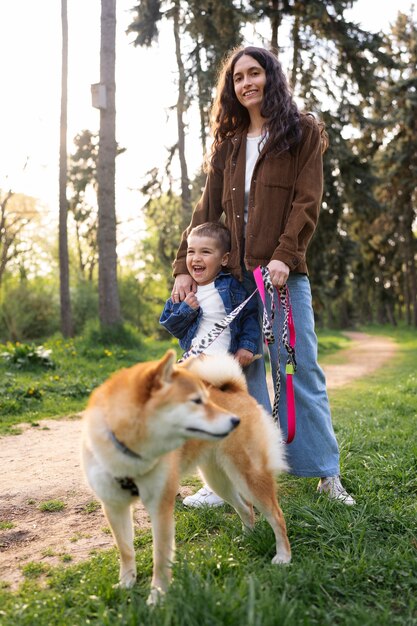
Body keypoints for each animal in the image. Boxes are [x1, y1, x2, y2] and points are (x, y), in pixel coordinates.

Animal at [81, 348, 290, 604]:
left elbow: (160, 559)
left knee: (276, 516)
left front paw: (157, 598)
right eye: (196, 401)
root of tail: (236, 390)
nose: (234, 421)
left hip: (249, 476)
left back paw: (284, 557)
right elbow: (126, 550)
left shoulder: (160, 507)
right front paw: (126, 584)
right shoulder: (113, 506)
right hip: (217, 480)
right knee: (246, 508)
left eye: (204, 399)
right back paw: (247, 538)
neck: (131, 455)